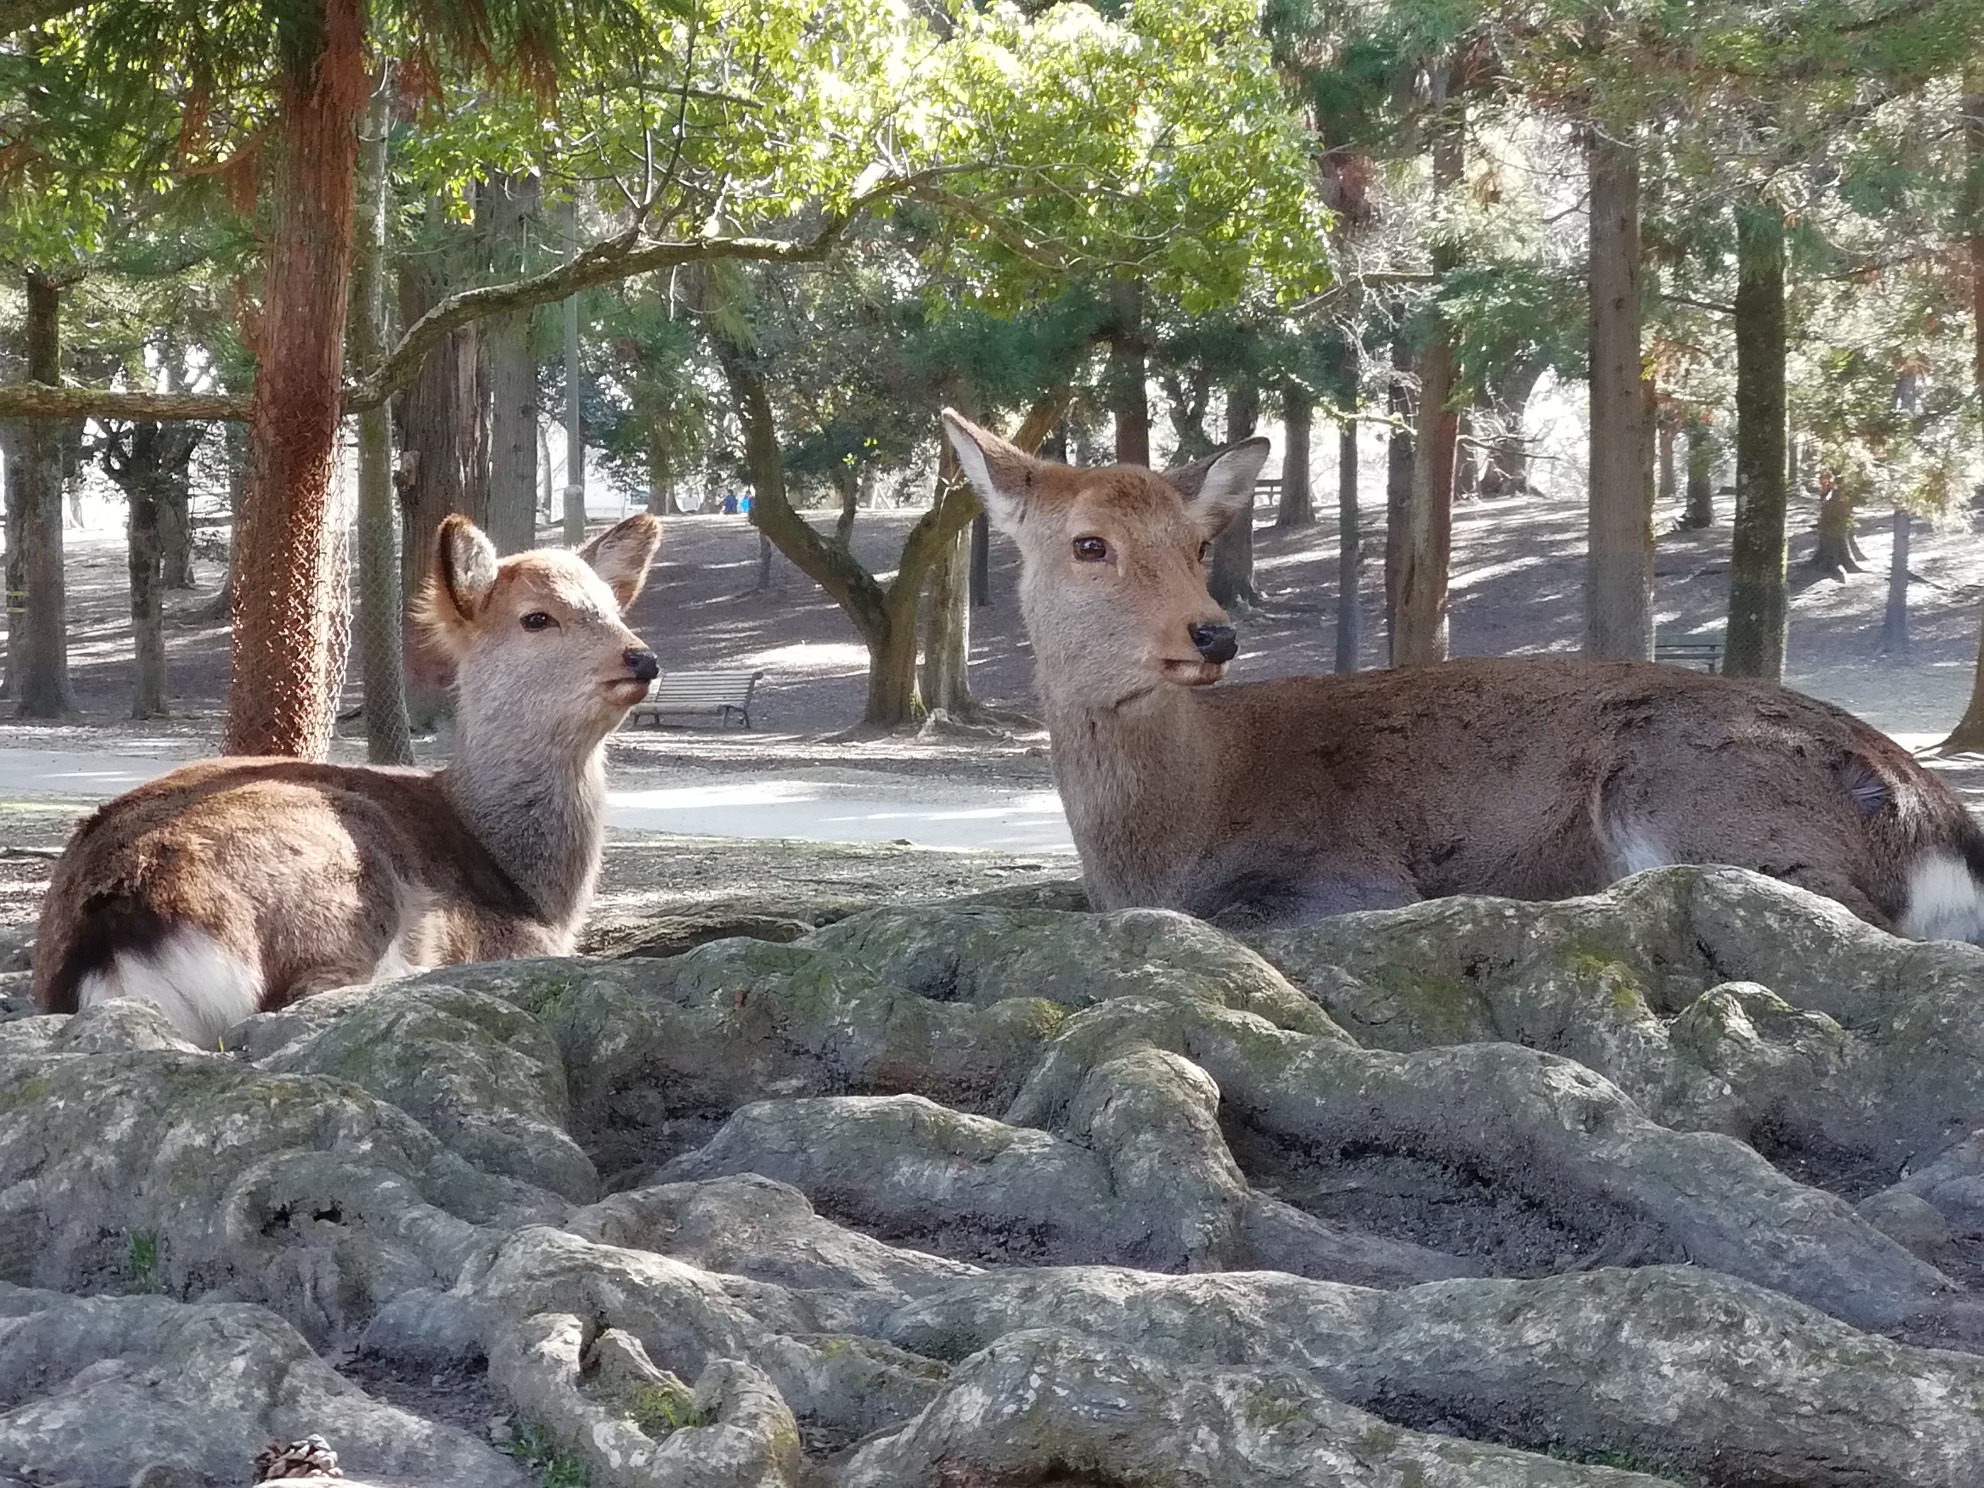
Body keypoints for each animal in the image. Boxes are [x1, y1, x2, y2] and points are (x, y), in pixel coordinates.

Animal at [32, 511, 666, 1047]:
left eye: (614, 610)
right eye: (537, 617)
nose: (643, 658)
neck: (532, 888)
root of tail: (114, 939)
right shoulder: (514, 940)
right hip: (343, 877)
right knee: (310, 993)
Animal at [936, 410, 1984, 944]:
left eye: (1201, 543)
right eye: (1088, 543)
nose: (1216, 634)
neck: (1154, 848)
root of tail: (1935, 813)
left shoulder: (1345, 869)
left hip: (1696, 785)